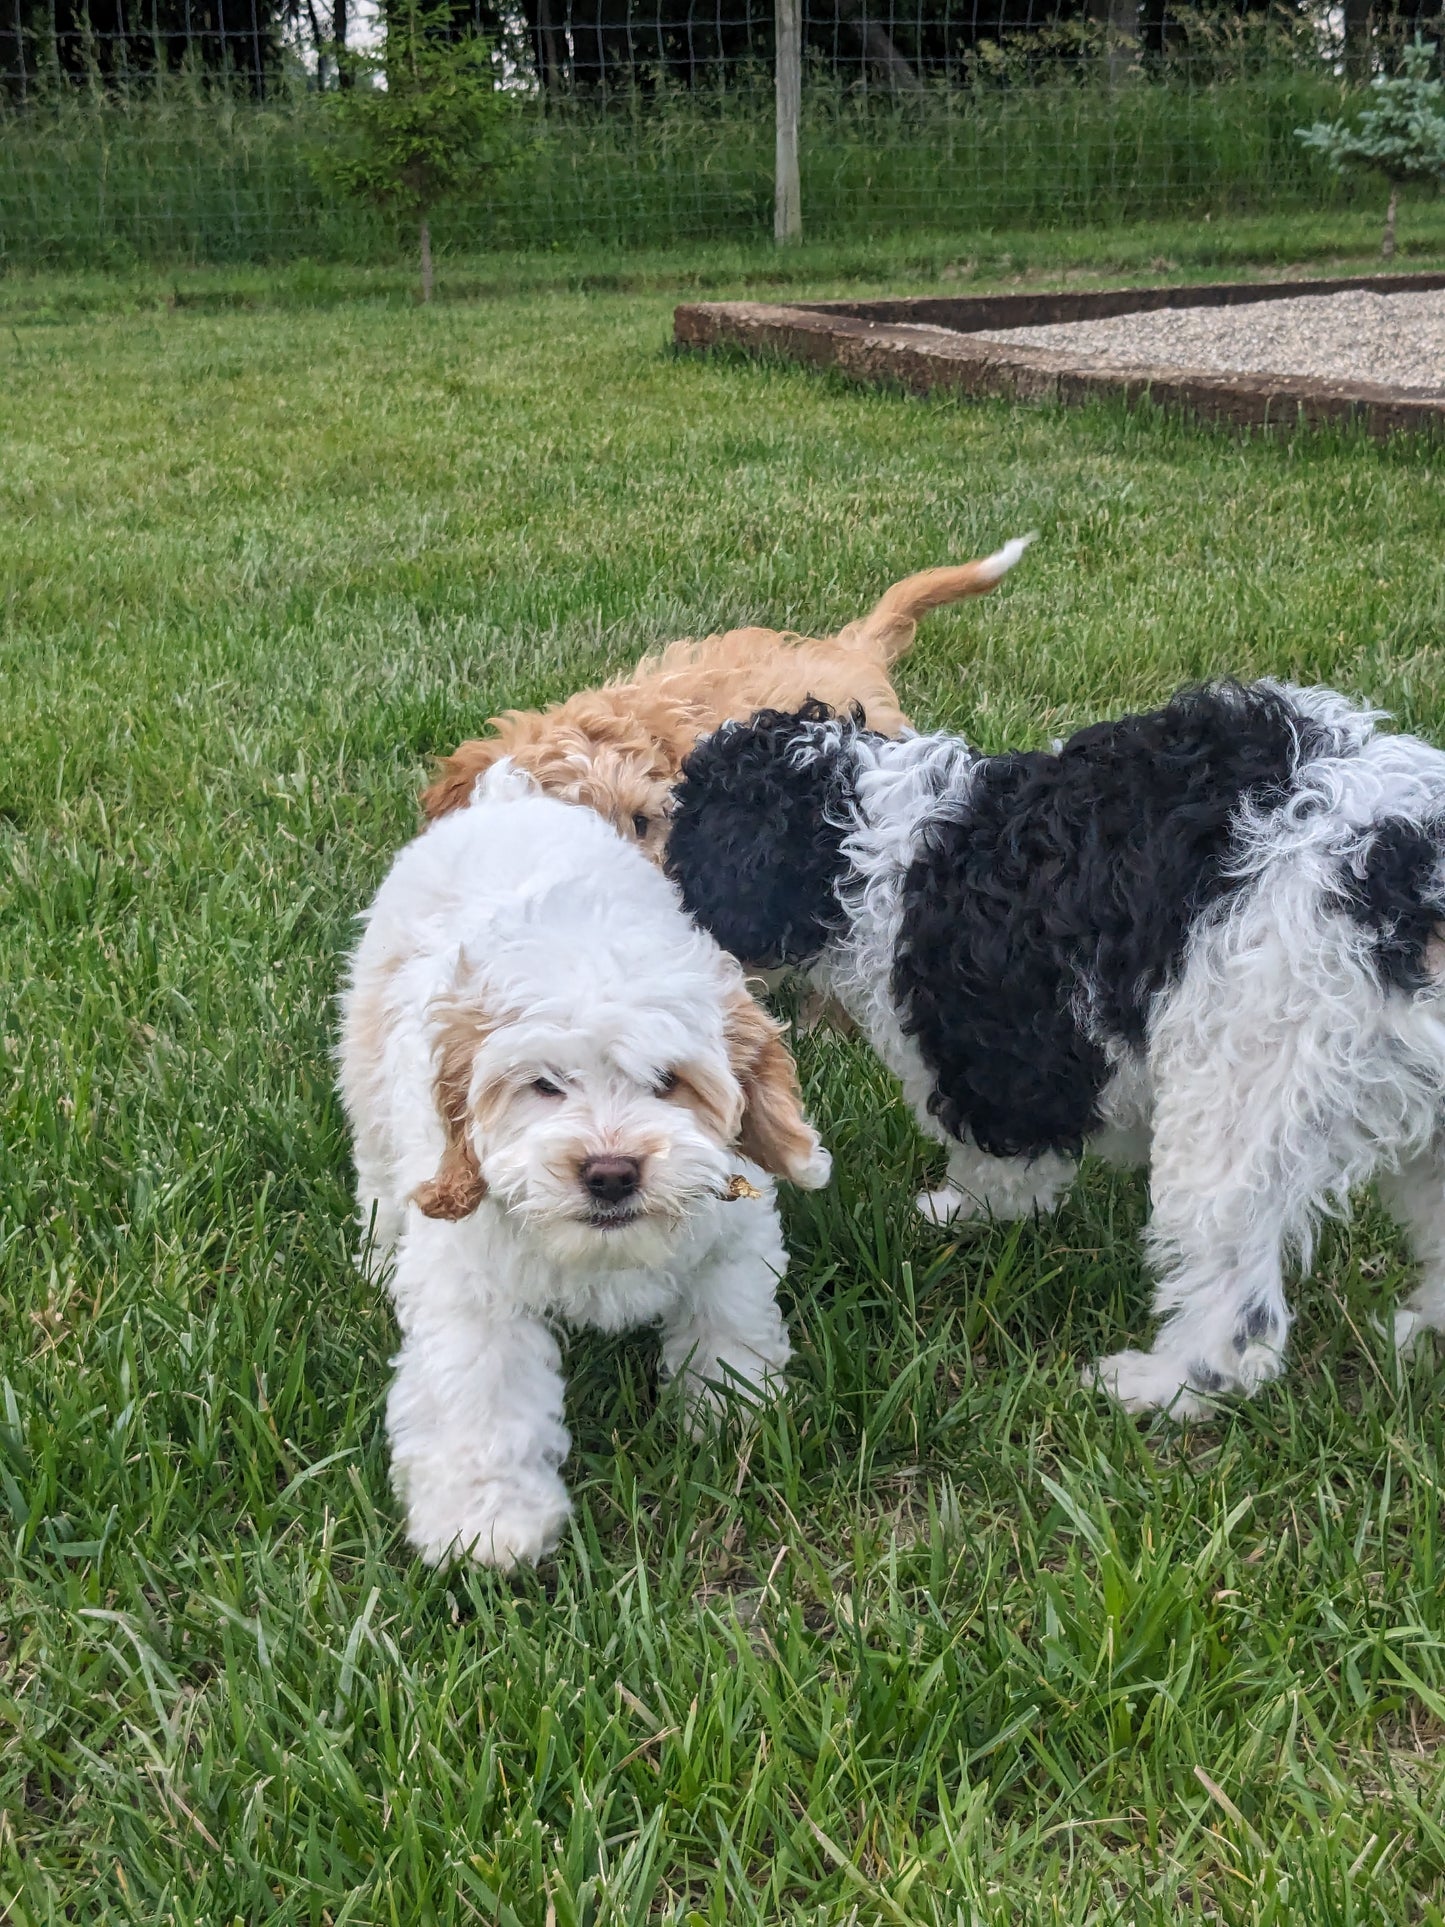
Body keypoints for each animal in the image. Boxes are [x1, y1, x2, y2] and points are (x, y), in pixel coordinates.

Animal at [339, 766, 832, 1564]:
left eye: (667, 1081)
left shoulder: (732, 1232)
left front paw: (730, 1414)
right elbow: (479, 1395)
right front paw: (487, 1524)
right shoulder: (472, 1287)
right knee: (380, 1171)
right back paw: (382, 1255)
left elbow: (727, 1318)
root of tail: (509, 800)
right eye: (544, 1084)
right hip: (367, 1062)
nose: (610, 1173)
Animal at [666, 689, 1445, 1418]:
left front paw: (958, 1212)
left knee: (1233, 1298)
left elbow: (1001, 1152)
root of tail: (1402, 887)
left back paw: (1159, 1388)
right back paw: (1420, 1336)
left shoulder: (996, 1046)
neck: (866, 840)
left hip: (1247, 1083)